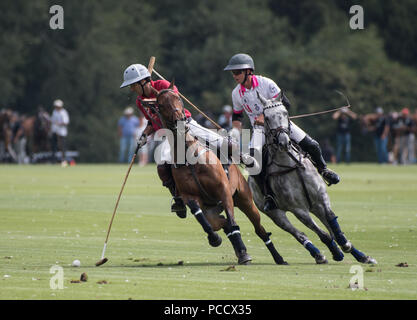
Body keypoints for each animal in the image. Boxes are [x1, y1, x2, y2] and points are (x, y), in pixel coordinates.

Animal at [154, 84, 286, 264]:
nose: (180, 120)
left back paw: (278, 258)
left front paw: (243, 251)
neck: (189, 156)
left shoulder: (223, 189)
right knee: (221, 223)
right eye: (160, 105)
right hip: (212, 210)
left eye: (178, 99)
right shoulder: (189, 196)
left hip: (245, 199)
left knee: (259, 229)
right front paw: (214, 239)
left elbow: (232, 219)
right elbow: (201, 216)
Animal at [247, 92, 376, 264]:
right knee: (299, 234)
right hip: (274, 213)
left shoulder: (321, 198)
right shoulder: (298, 209)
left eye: (285, 113)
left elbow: (334, 226)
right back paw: (320, 254)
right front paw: (335, 252)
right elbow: (323, 234)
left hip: (313, 207)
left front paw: (353, 250)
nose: (284, 142)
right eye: (266, 117)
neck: (291, 163)